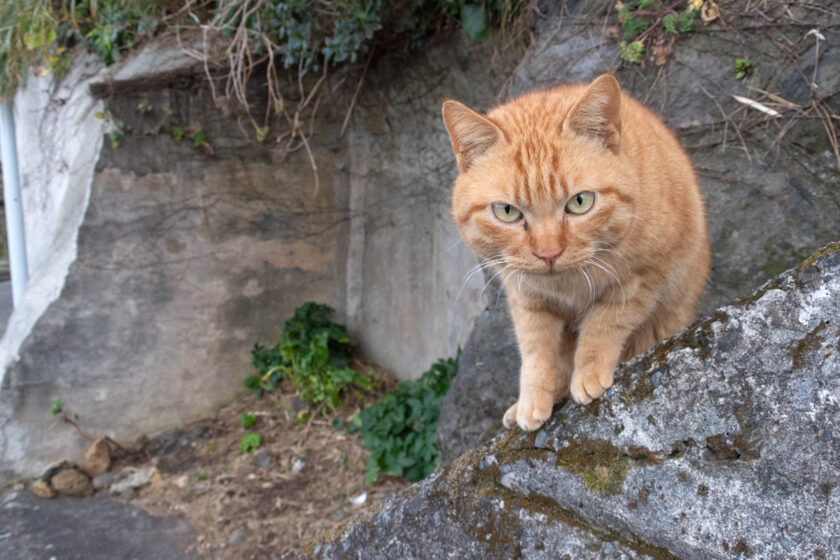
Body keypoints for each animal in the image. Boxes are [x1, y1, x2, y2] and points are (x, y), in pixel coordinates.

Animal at [446, 74, 708, 430]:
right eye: (507, 212)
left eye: (580, 202)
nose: (549, 253)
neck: (567, 283)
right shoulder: (526, 297)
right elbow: (536, 350)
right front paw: (533, 398)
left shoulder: (640, 280)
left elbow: (602, 325)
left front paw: (588, 374)